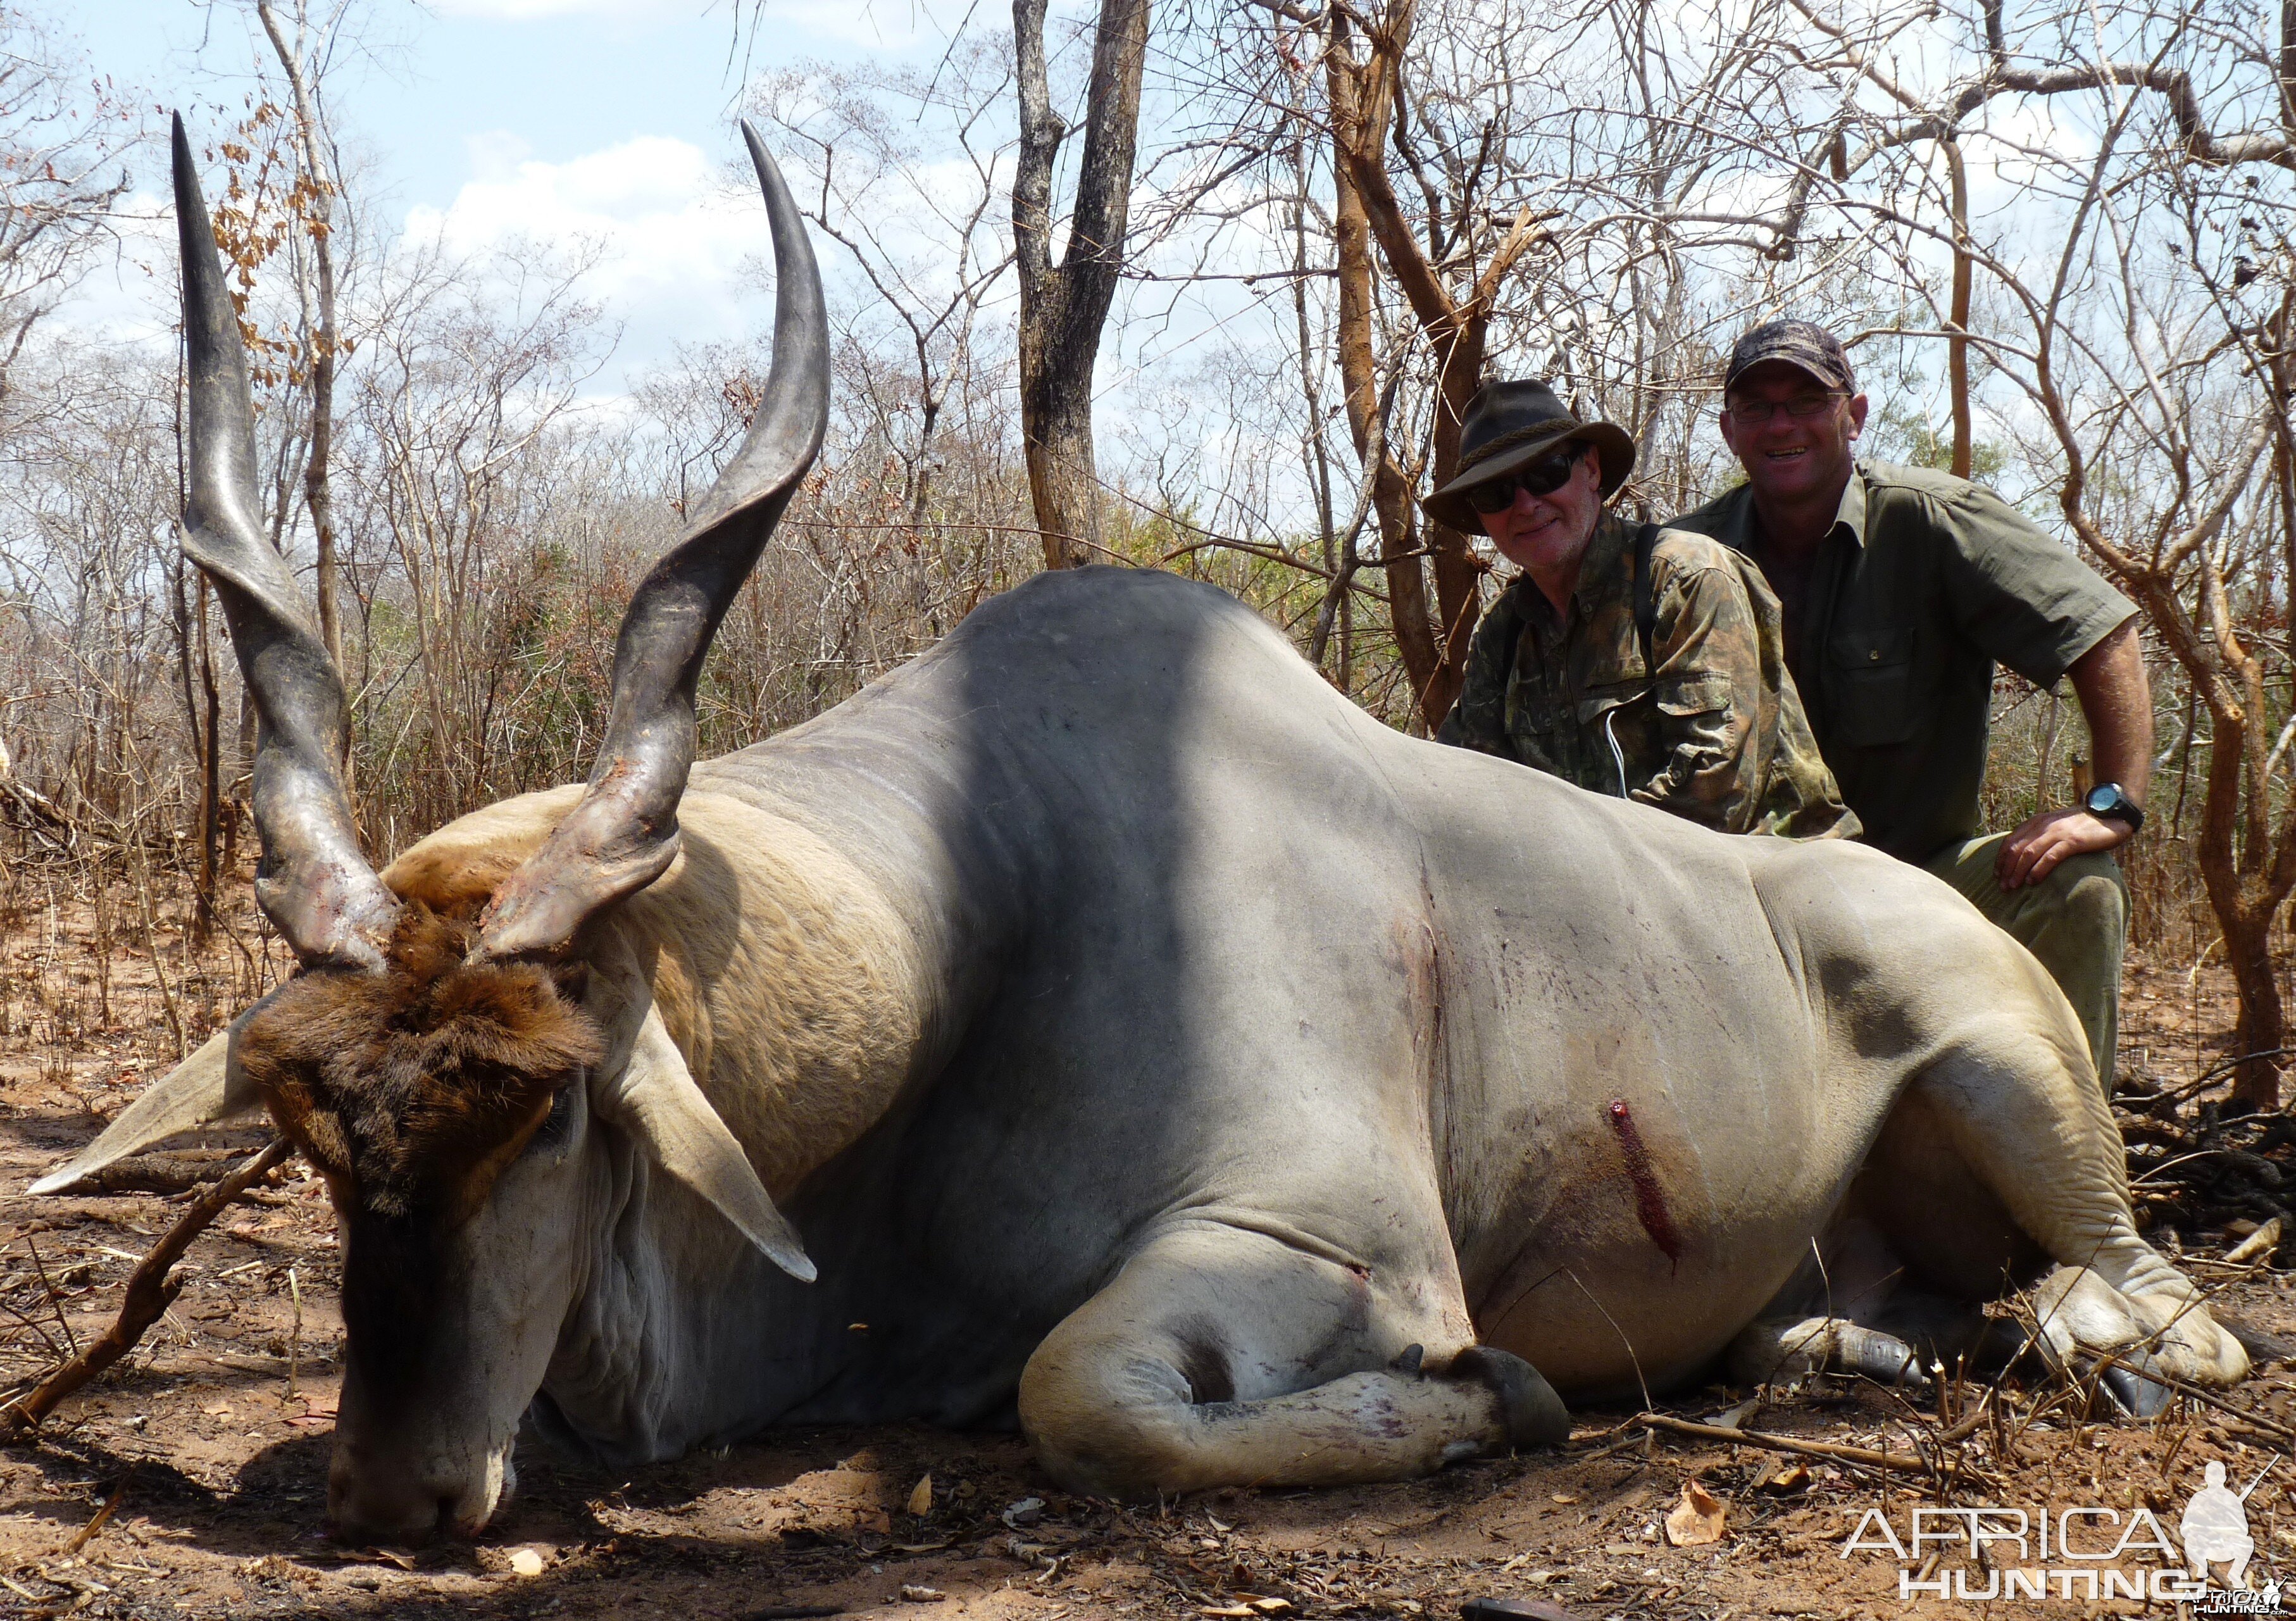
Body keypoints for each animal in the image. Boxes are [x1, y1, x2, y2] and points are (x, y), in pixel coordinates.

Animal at [40, 117, 2259, 1543]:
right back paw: (1839, 1354)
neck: (995, 906)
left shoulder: (1320, 1243)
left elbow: (1086, 1393)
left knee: (2161, 1307)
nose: (395, 1494)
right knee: (1873, 1314)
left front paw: (1501, 1396)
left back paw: (2084, 1338)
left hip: (2004, 1063)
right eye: (314, 1129)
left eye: (557, 1111)